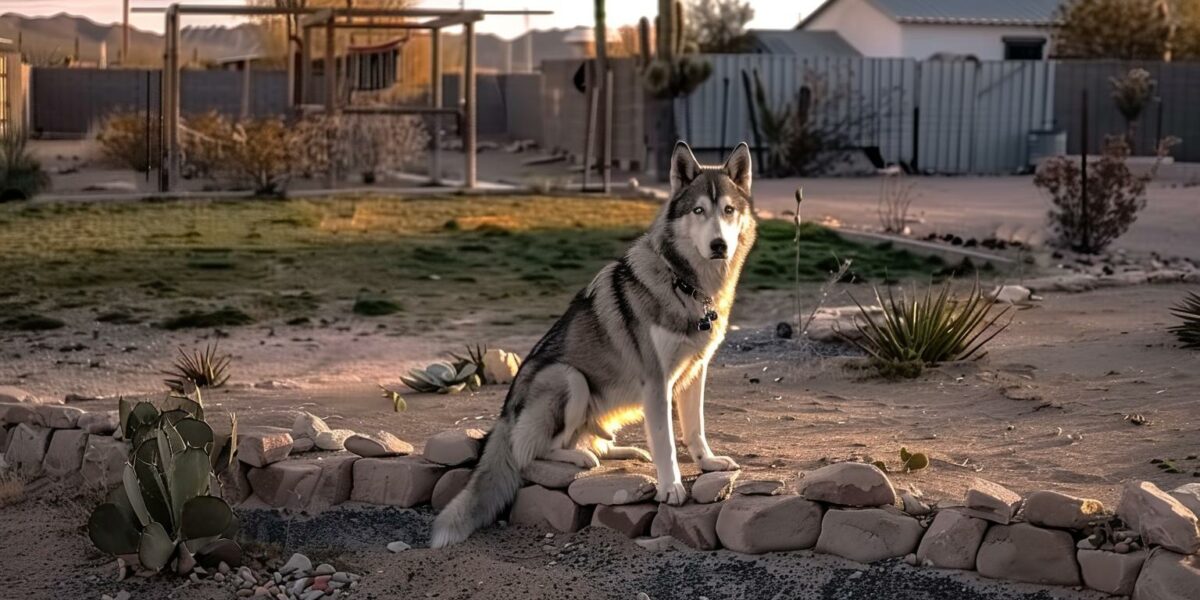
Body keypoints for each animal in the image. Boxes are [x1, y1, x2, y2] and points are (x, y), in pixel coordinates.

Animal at [429, 141, 748, 549]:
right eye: (698, 211)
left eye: (728, 210)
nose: (719, 245)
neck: (687, 284)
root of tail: (504, 415)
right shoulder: (656, 382)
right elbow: (665, 442)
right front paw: (671, 487)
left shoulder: (695, 372)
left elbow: (695, 428)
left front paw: (707, 463)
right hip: (568, 378)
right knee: (533, 453)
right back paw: (580, 460)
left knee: (589, 441)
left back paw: (624, 450)